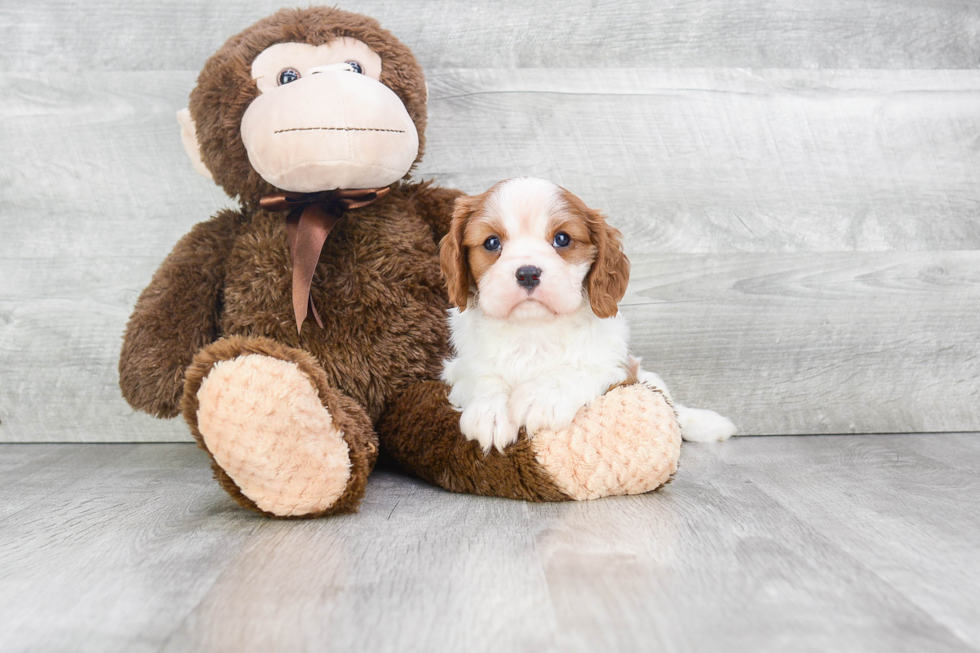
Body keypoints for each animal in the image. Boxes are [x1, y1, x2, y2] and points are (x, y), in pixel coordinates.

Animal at [438, 178, 736, 454]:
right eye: (491, 242)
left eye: (562, 239)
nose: (528, 273)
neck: (533, 330)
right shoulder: (460, 366)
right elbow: (482, 375)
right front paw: (490, 412)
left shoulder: (617, 365)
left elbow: (579, 369)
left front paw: (541, 397)